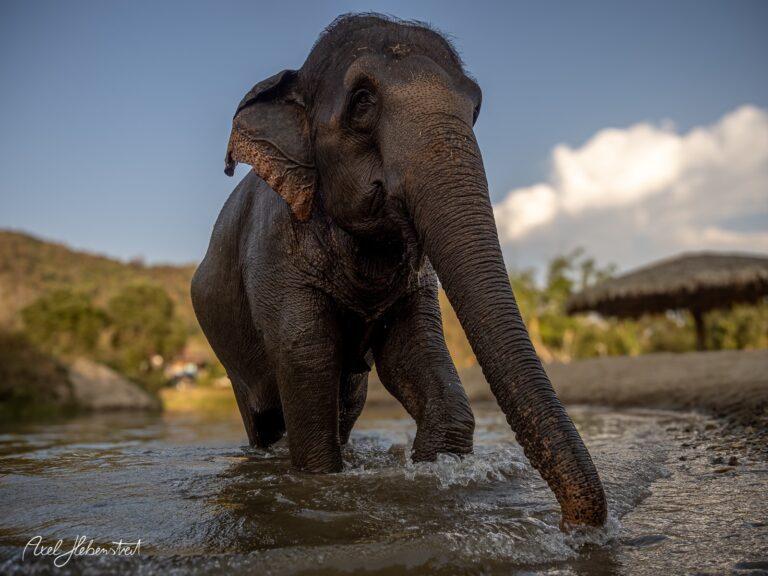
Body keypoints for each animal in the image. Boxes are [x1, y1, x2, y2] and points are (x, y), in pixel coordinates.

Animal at [192, 13, 607, 529]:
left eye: (475, 107)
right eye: (362, 102)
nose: (571, 525)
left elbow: (413, 358)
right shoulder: (275, 256)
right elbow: (306, 360)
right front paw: (318, 480)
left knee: (347, 401)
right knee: (264, 417)